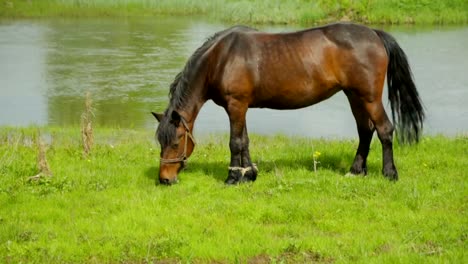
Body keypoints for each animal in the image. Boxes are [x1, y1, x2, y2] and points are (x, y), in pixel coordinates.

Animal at [151, 22, 424, 185]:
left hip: (369, 98)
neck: (221, 58)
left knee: (384, 129)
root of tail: (374, 33)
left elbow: (235, 142)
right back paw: (356, 170)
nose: (164, 179)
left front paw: (232, 177)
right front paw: (249, 175)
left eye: (175, 142)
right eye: (160, 142)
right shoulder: (241, 106)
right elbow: (245, 140)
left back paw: (389, 173)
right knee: (365, 131)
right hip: (353, 96)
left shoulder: (235, 104)